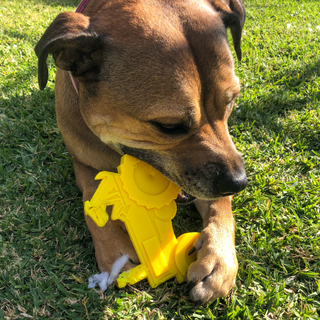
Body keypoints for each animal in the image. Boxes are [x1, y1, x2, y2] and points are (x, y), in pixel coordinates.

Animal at [35, 0, 248, 304]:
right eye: (168, 126)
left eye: (230, 103)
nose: (239, 182)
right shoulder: (82, 162)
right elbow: (91, 199)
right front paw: (114, 252)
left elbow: (221, 206)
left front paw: (218, 257)